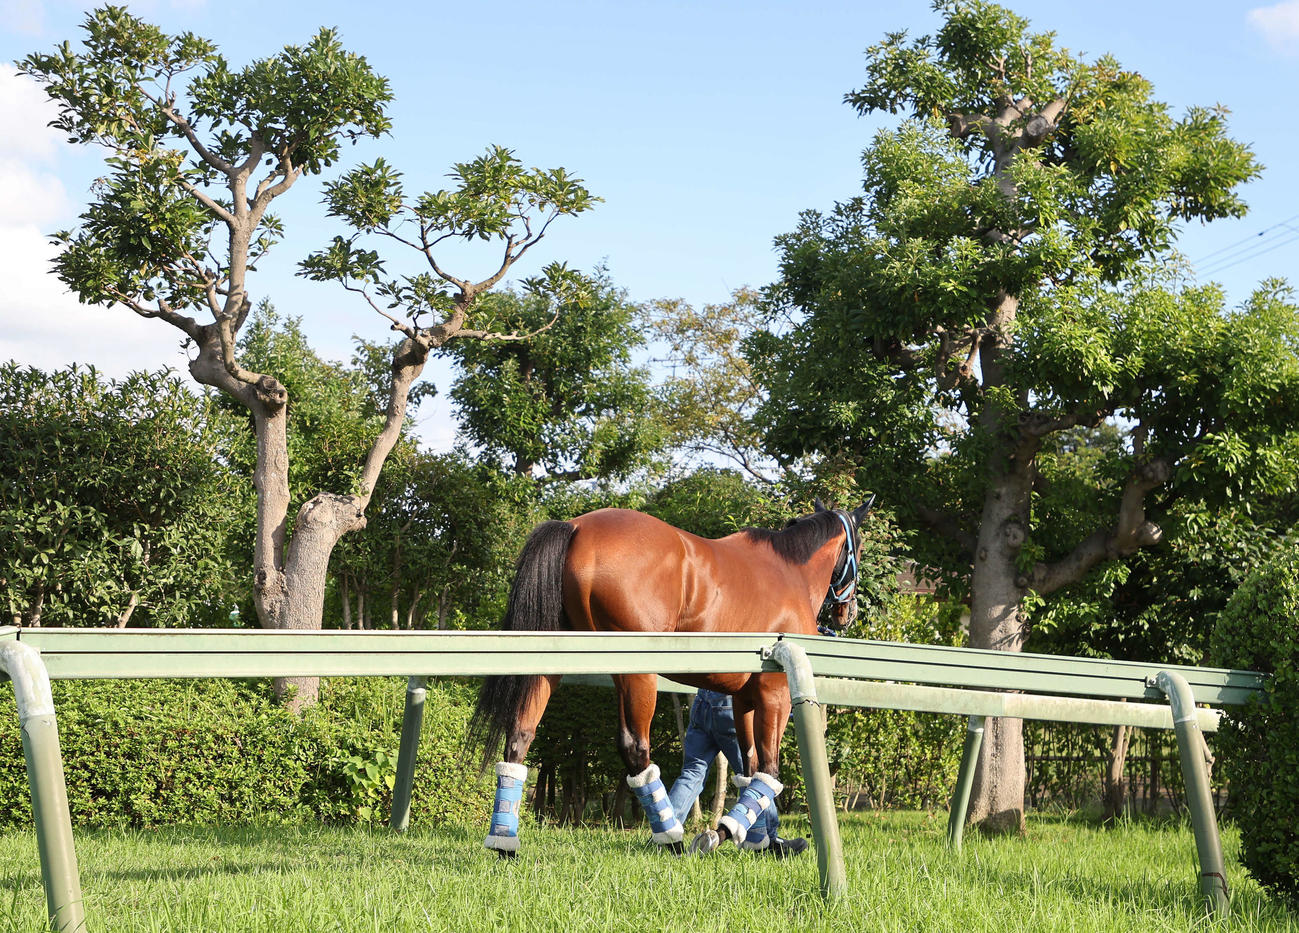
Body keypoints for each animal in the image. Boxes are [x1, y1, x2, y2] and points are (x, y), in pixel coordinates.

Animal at [469, 496, 874, 856]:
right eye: (860, 546)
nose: (847, 612)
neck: (789, 572)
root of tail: (577, 527)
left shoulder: (743, 697)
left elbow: (749, 766)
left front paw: (761, 840)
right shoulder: (776, 693)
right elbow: (769, 771)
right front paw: (722, 833)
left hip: (553, 663)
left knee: (520, 733)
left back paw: (504, 841)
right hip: (638, 673)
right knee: (635, 748)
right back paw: (671, 837)